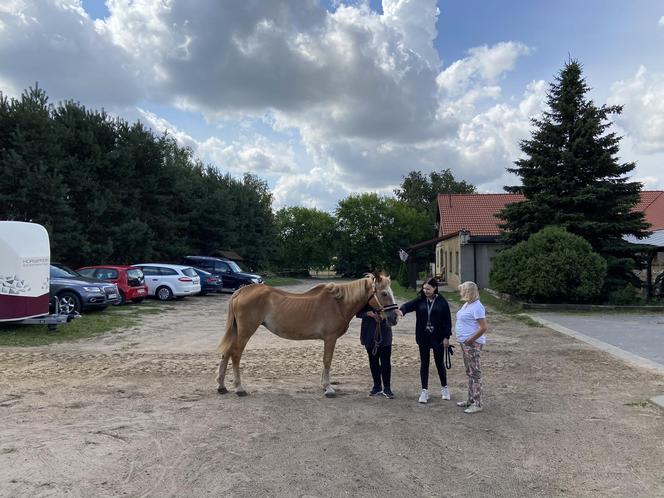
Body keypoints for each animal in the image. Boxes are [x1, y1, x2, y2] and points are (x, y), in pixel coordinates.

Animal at [215, 272, 396, 396]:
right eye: (384, 293)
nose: (394, 317)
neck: (338, 304)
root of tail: (241, 292)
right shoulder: (330, 338)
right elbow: (327, 360)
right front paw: (328, 388)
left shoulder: (328, 339)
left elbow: (326, 361)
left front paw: (324, 385)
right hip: (245, 332)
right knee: (235, 354)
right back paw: (239, 388)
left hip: (237, 331)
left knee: (227, 352)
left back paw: (222, 386)